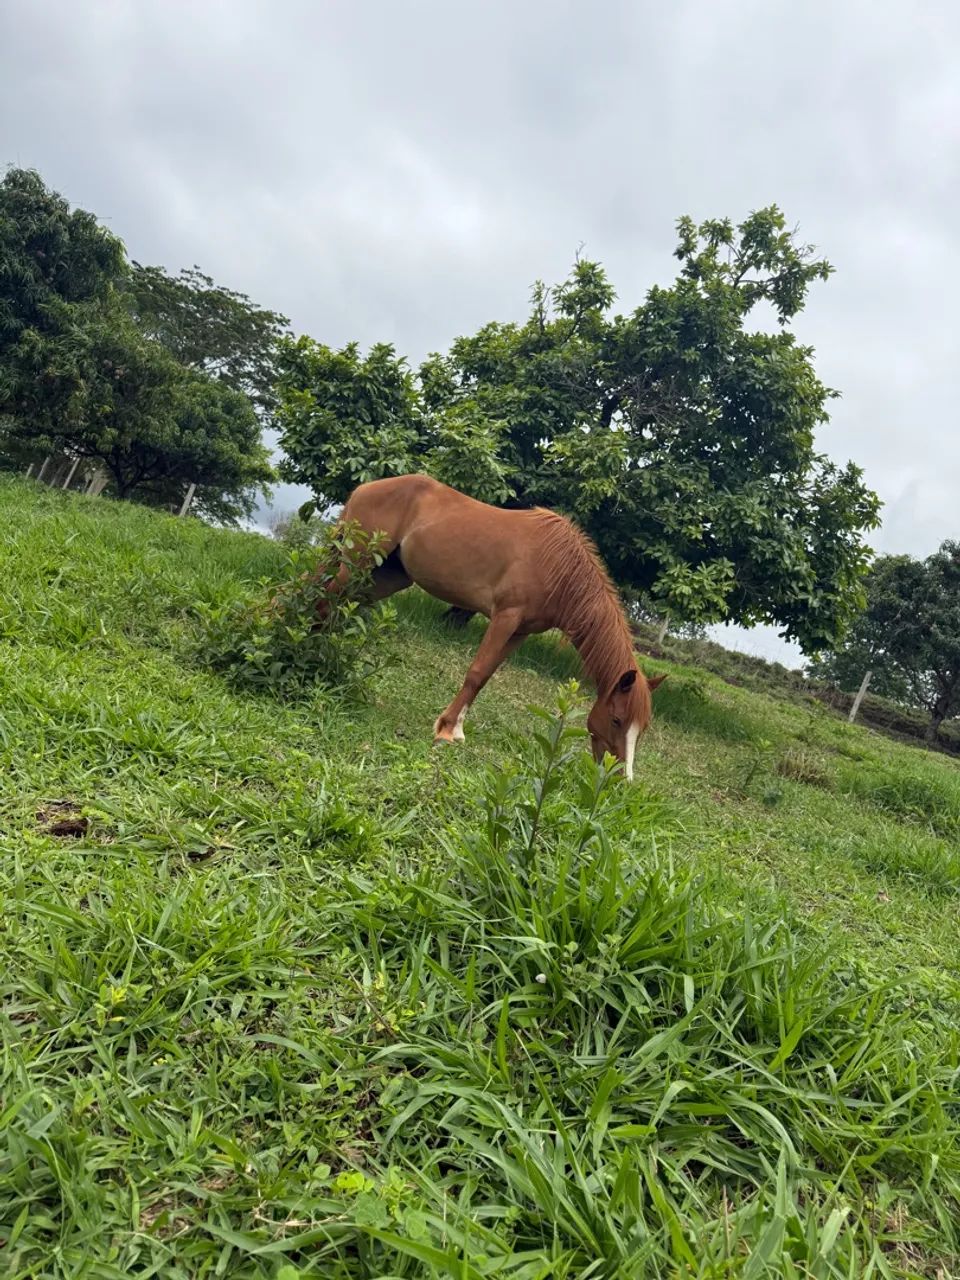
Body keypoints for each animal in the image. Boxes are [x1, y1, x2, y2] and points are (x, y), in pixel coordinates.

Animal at [321, 474, 665, 778]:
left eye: (642, 730)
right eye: (617, 720)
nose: (620, 778)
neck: (557, 566)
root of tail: (367, 486)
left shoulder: (520, 632)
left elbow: (485, 675)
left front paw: (458, 729)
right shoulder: (505, 617)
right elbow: (475, 673)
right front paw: (445, 731)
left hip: (385, 576)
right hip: (357, 564)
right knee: (325, 600)